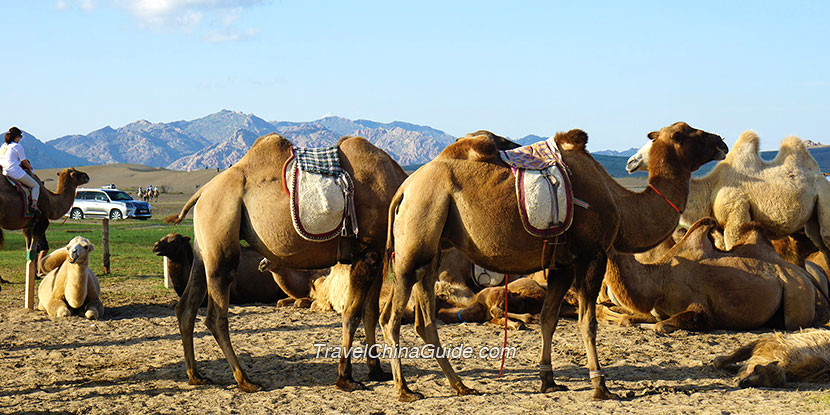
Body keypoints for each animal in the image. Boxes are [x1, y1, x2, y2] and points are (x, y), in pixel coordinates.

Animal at [165, 134, 406, 394]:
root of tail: (203, 192)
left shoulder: (376, 254)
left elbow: (370, 313)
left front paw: (377, 371)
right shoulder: (367, 251)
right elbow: (352, 314)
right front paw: (346, 378)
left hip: (204, 250)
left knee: (186, 307)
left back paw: (196, 376)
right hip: (221, 234)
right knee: (215, 315)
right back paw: (245, 380)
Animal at [382, 123, 728, 404]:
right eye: (684, 133)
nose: (721, 141)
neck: (620, 204)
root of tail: (404, 189)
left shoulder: (562, 263)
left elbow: (549, 319)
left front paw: (548, 380)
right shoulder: (591, 254)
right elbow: (587, 322)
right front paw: (600, 387)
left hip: (433, 252)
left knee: (424, 321)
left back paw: (460, 386)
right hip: (415, 242)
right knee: (391, 319)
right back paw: (405, 390)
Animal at [600, 219, 830, 334]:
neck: (659, 279)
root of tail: (803, 273)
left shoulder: (699, 307)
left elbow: (660, 326)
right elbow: (633, 320)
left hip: (798, 293)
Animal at [628, 132, 830, 262]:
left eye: (654, 143)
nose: (631, 161)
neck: (710, 189)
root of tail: (821, 176)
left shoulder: (736, 218)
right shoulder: (718, 227)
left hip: (824, 198)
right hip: (812, 218)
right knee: (821, 244)